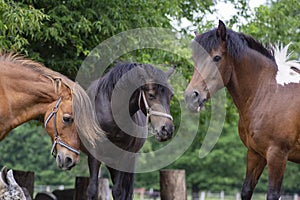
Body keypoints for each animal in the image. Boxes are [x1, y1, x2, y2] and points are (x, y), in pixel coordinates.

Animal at [83, 61, 175, 199]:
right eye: (151, 95)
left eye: (171, 96)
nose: (167, 130)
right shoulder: (94, 152)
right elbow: (92, 189)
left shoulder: (125, 155)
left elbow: (118, 191)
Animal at [184, 20, 300, 200]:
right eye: (195, 59)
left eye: (217, 57)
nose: (191, 96)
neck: (270, 93)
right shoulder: (255, 153)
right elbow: (246, 190)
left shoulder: (277, 154)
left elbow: (273, 194)